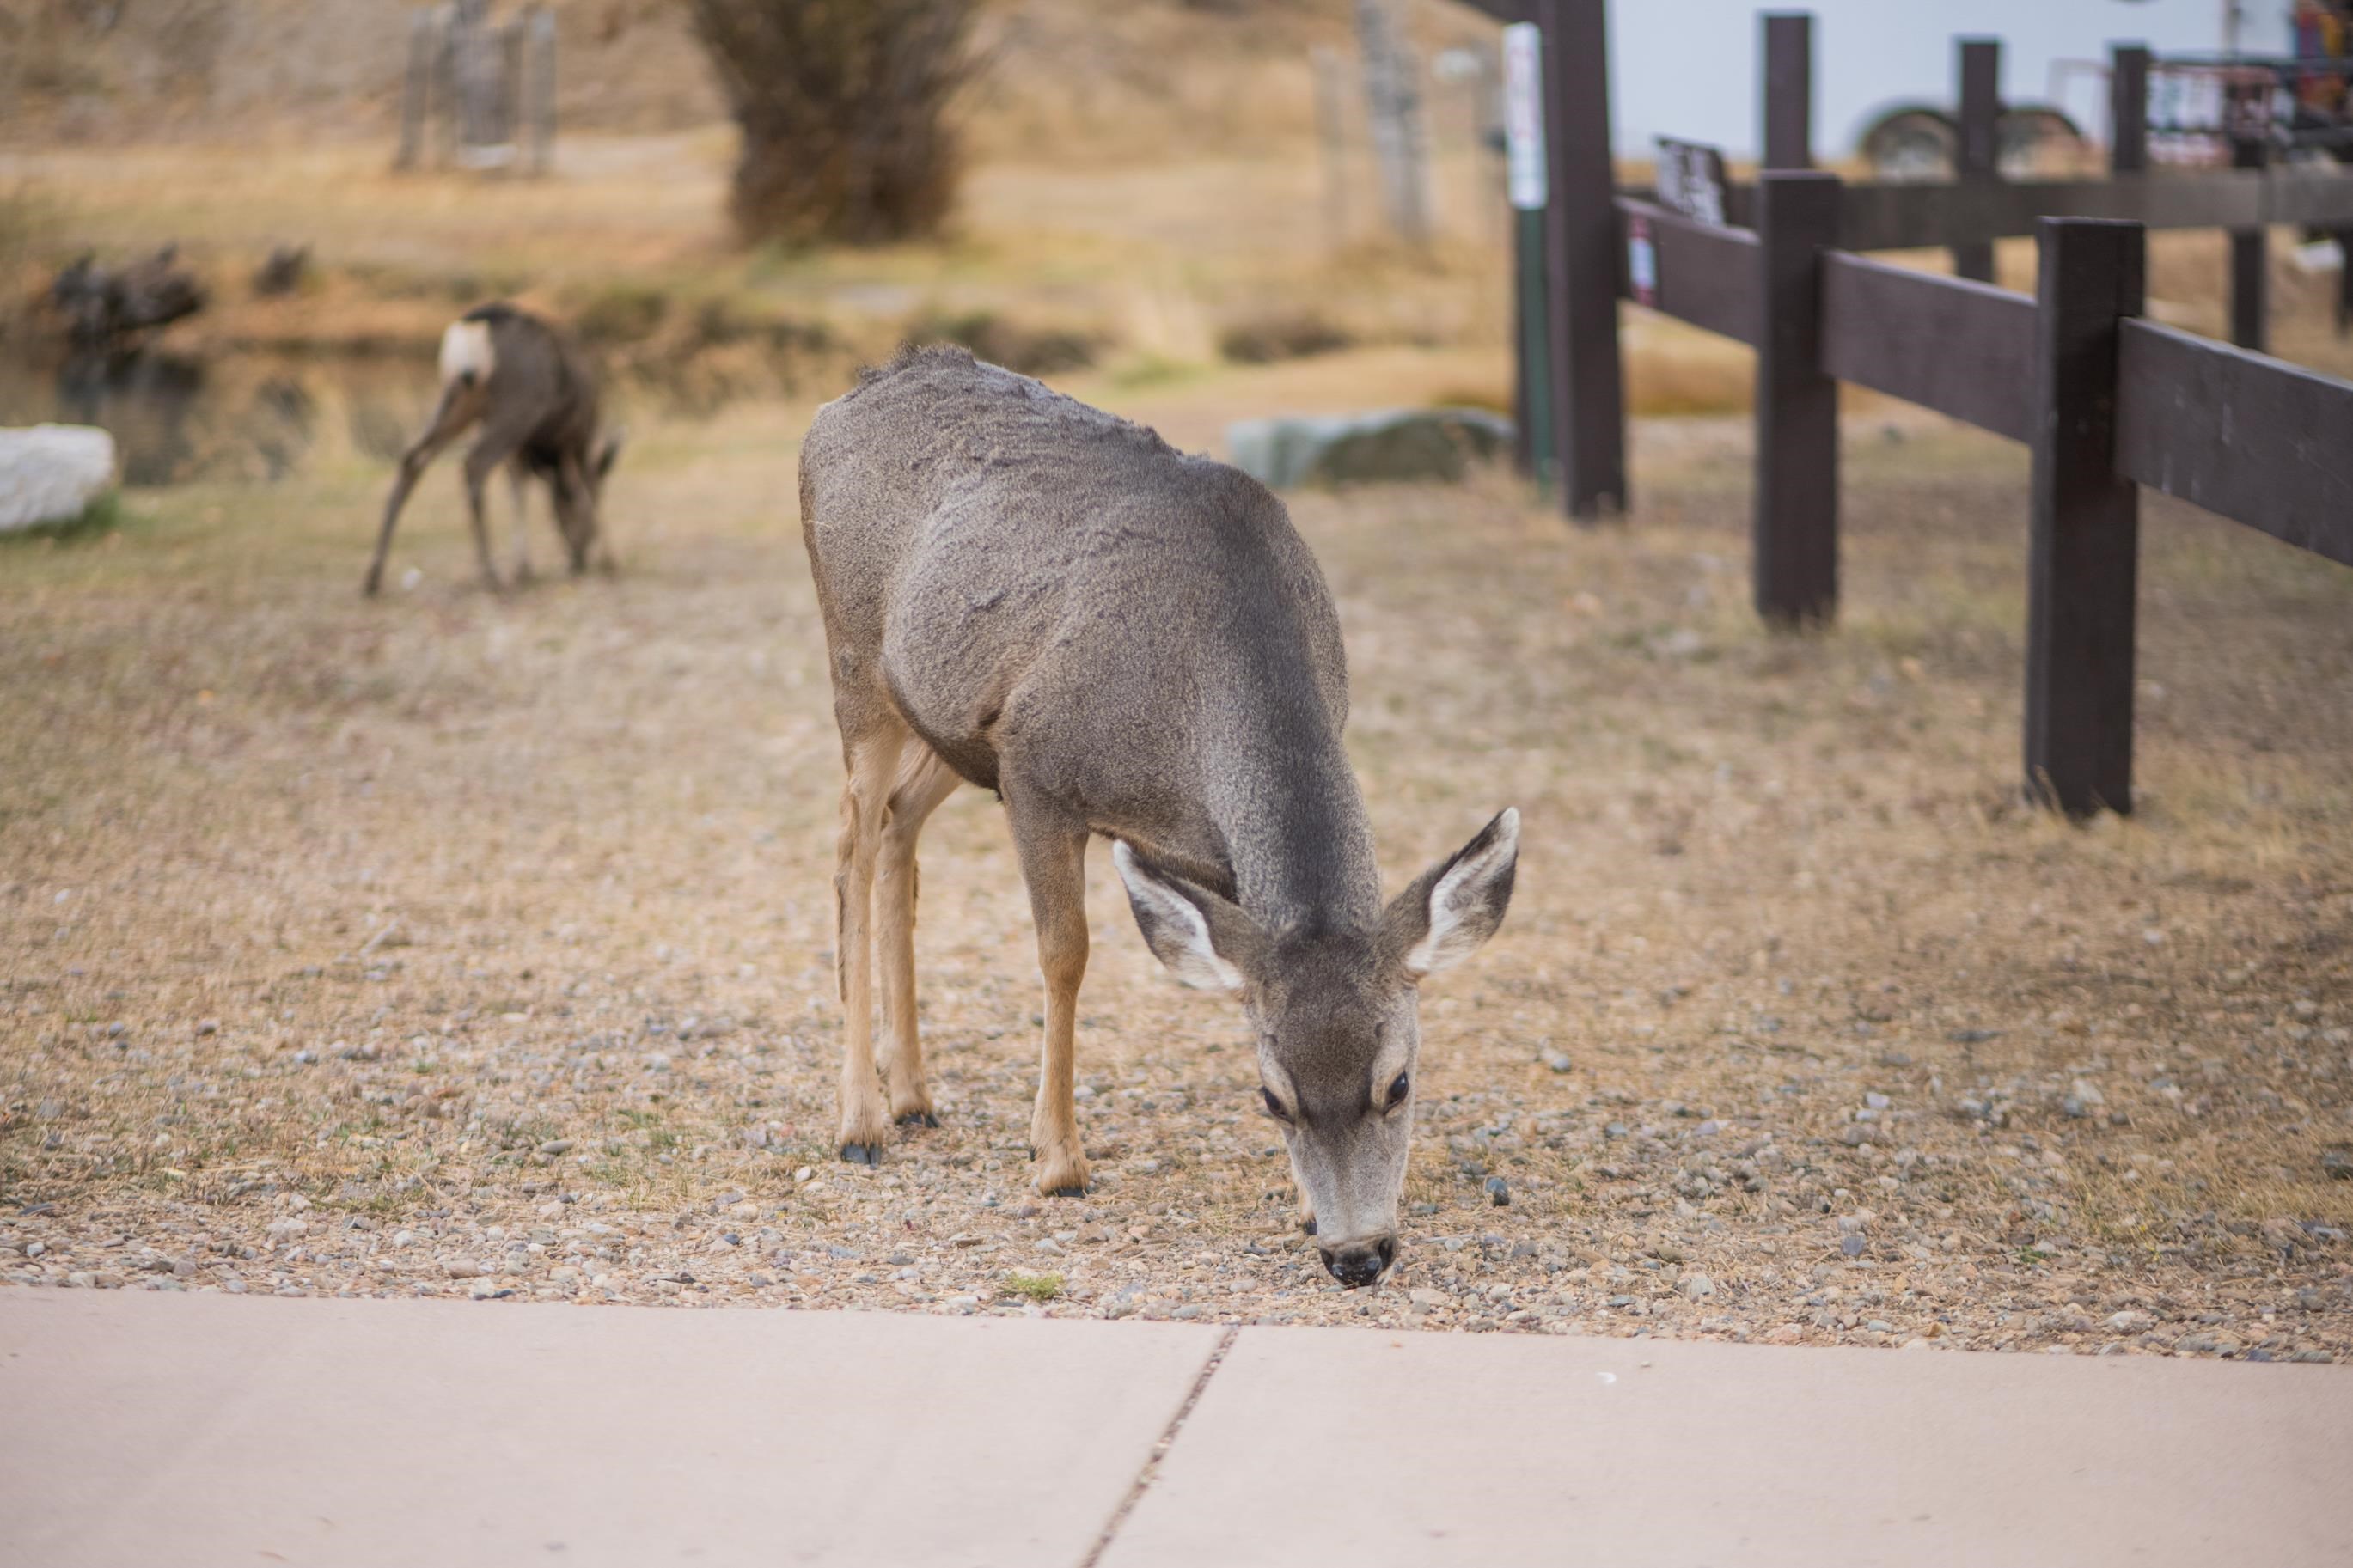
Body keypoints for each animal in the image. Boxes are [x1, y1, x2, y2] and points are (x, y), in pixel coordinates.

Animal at [362, 302, 620, 596]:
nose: (578, 558)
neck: (548, 453)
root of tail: (472, 329)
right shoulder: (574, 436)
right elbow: (583, 488)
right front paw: (609, 559)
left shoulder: (524, 449)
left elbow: (517, 491)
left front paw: (524, 567)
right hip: (516, 405)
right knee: (474, 463)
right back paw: (491, 573)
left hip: (459, 401)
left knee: (413, 458)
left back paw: (373, 577)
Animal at [799, 350, 1515, 1297]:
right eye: (1273, 1097)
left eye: (1397, 1084)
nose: (1358, 1255)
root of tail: (843, 396)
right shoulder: (1033, 763)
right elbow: (1065, 954)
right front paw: (1057, 1158)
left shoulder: (1203, 848)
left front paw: (1297, 1202)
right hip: (854, 661)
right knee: (849, 840)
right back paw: (860, 1117)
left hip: (943, 723)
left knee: (896, 827)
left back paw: (913, 1092)